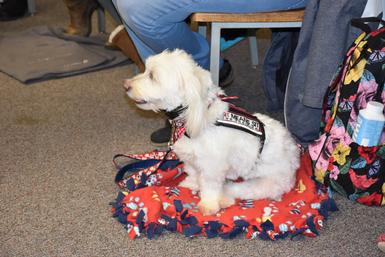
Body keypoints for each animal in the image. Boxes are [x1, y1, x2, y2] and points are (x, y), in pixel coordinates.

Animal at [123, 49, 300, 215]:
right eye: (146, 70)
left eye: (152, 76)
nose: (126, 85)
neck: (191, 119)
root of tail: (295, 157)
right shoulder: (191, 159)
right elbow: (193, 173)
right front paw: (191, 183)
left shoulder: (212, 168)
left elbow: (210, 186)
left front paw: (208, 204)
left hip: (265, 183)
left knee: (236, 189)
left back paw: (224, 198)